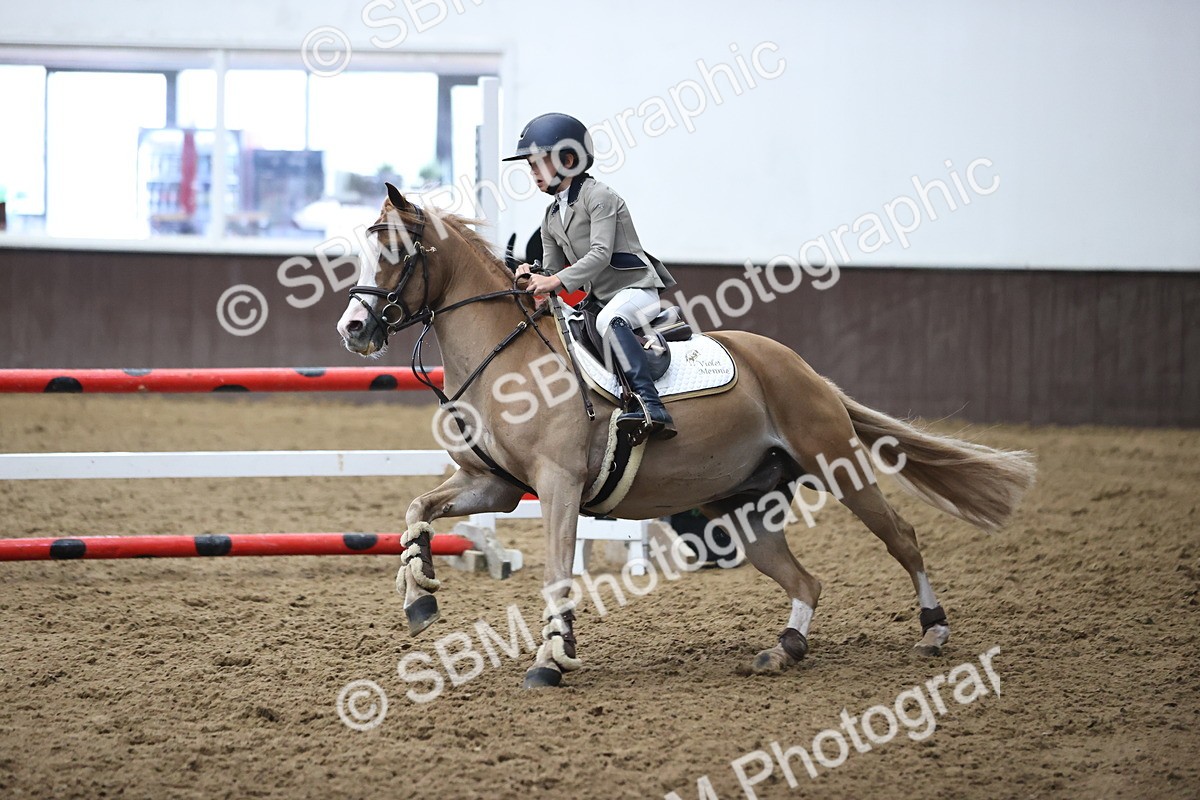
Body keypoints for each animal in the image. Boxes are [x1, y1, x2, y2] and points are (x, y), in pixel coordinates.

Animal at [336, 184, 1037, 689]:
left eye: (394, 253)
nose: (353, 329)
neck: (506, 359)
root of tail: (802, 370)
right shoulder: (494, 485)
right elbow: (417, 509)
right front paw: (418, 596)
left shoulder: (558, 487)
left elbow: (559, 573)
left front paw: (552, 661)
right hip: (743, 509)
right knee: (804, 581)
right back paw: (785, 649)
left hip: (838, 465)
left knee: (903, 538)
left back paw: (933, 629)